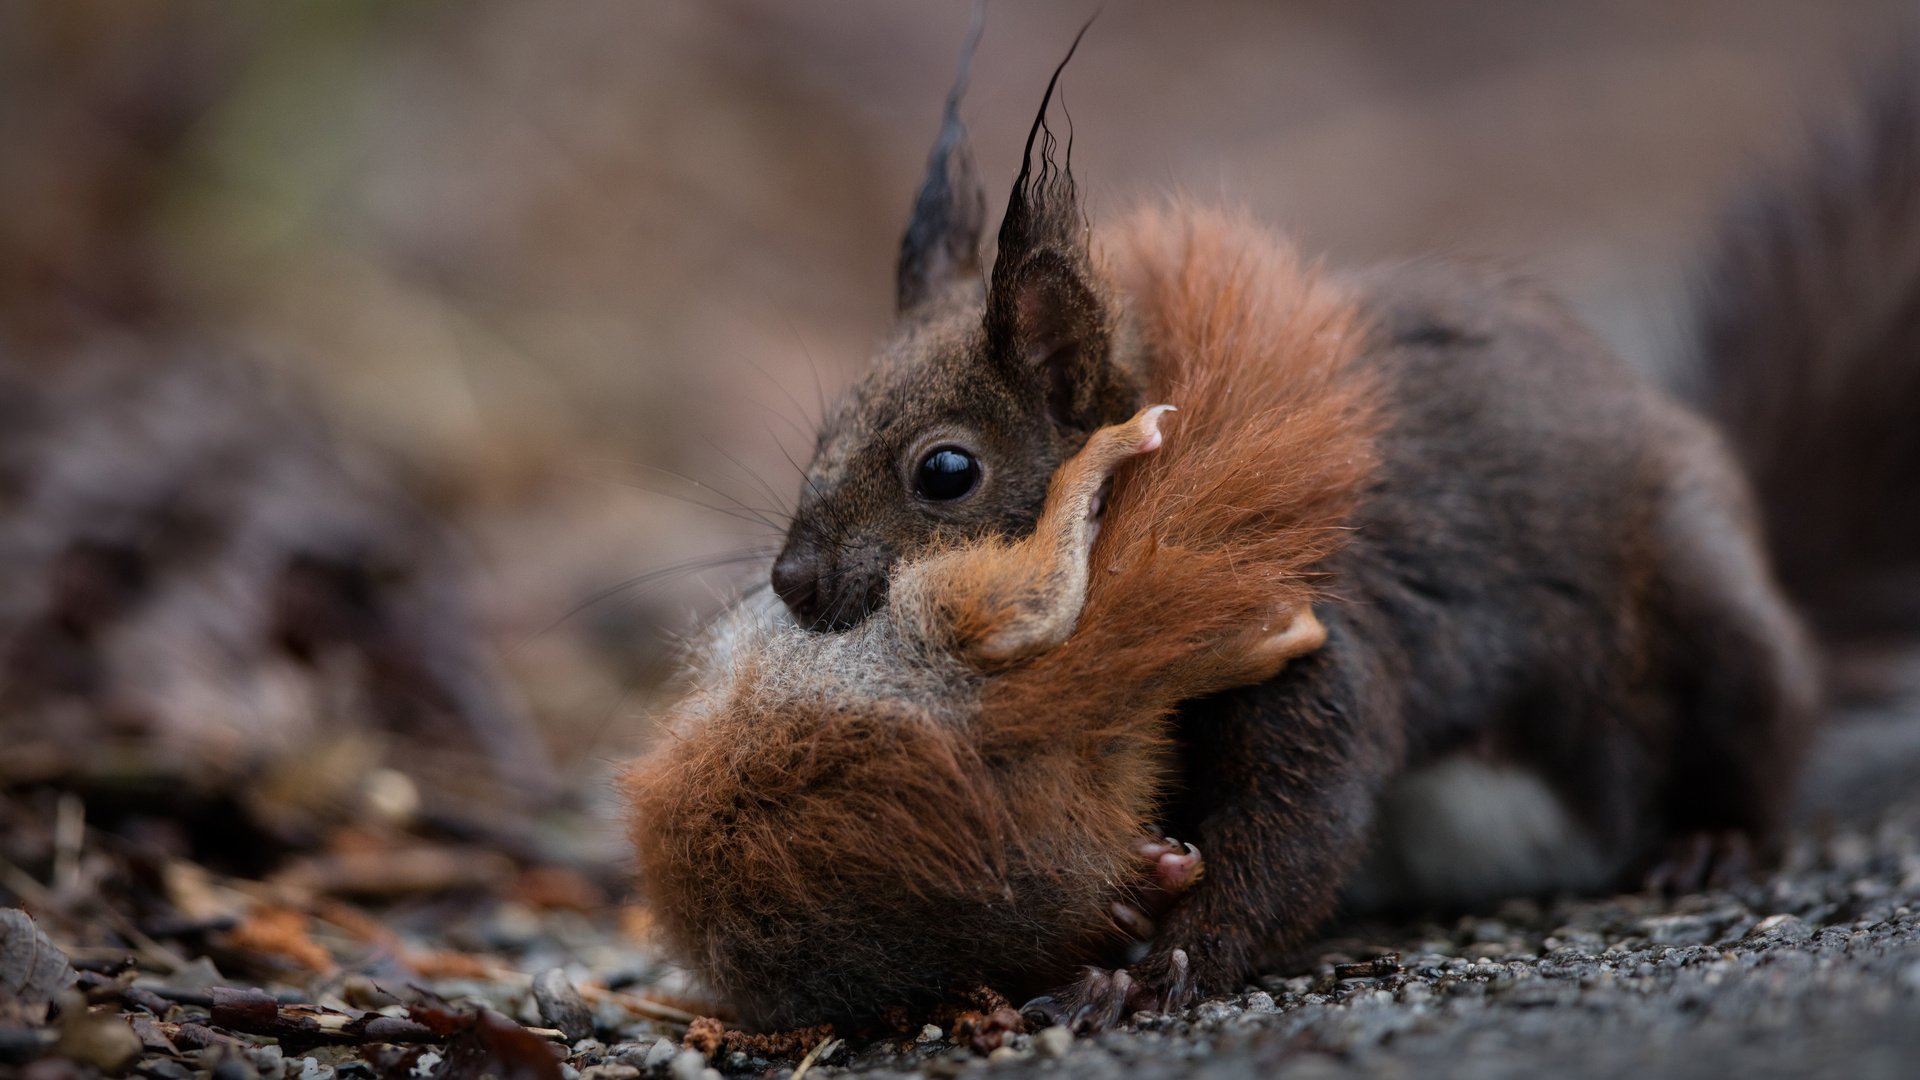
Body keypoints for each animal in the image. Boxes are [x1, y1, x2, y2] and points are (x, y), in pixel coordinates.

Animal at [625, 31, 1920, 1022]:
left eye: (946, 471)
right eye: (826, 421)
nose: (793, 583)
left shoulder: (1321, 627)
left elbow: (1297, 824)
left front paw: (1154, 969)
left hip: (1705, 608)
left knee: (1761, 740)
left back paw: (1709, 839)